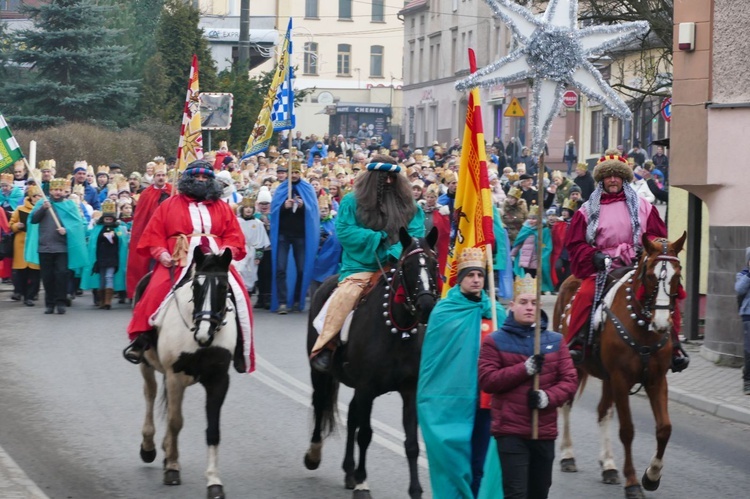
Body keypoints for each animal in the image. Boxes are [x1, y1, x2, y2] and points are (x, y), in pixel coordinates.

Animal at [552, 232, 688, 498]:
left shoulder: (656, 380)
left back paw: (608, 466)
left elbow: (664, 428)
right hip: (577, 368)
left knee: (603, 411)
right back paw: (567, 455)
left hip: (607, 378)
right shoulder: (621, 379)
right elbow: (627, 430)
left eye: (677, 275)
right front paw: (633, 482)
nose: (661, 323)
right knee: (566, 404)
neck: (643, 328)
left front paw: (651, 476)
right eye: (650, 275)